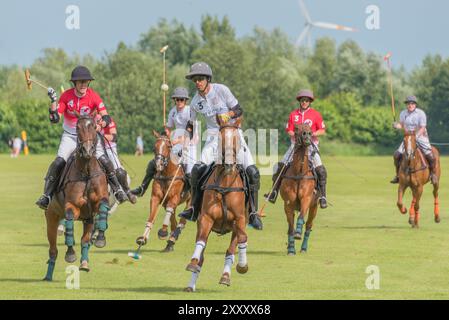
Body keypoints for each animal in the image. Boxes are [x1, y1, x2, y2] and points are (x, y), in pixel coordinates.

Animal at [43, 116, 109, 282]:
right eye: (77, 128)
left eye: (94, 126)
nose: (87, 150)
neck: (86, 172)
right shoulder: (72, 206)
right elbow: (69, 226)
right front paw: (70, 254)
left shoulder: (98, 203)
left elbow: (103, 208)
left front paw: (100, 239)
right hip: (51, 218)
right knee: (53, 250)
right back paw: (48, 275)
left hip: (88, 219)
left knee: (84, 240)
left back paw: (84, 263)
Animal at [185, 116, 250, 292]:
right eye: (220, 138)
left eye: (237, 139)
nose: (228, 163)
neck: (225, 186)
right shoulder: (206, 218)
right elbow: (201, 242)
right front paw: (192, 263)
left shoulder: (240, 219)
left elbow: (242, 239)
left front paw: (242, 266)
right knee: (202, 251)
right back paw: (191, 283)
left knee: (230, 251)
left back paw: (226, 276)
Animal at [280, 124, 318, 256]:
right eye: (296, 128)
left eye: (310, 129)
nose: (307, 135)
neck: (299, 173)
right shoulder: (288, 203)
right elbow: (291, 227)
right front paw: (291, 249)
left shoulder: (306, 199)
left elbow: (301, 217)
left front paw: (298, 233)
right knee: (289, 227)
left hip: (314, 207)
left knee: (309, 226)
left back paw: (303, 248)